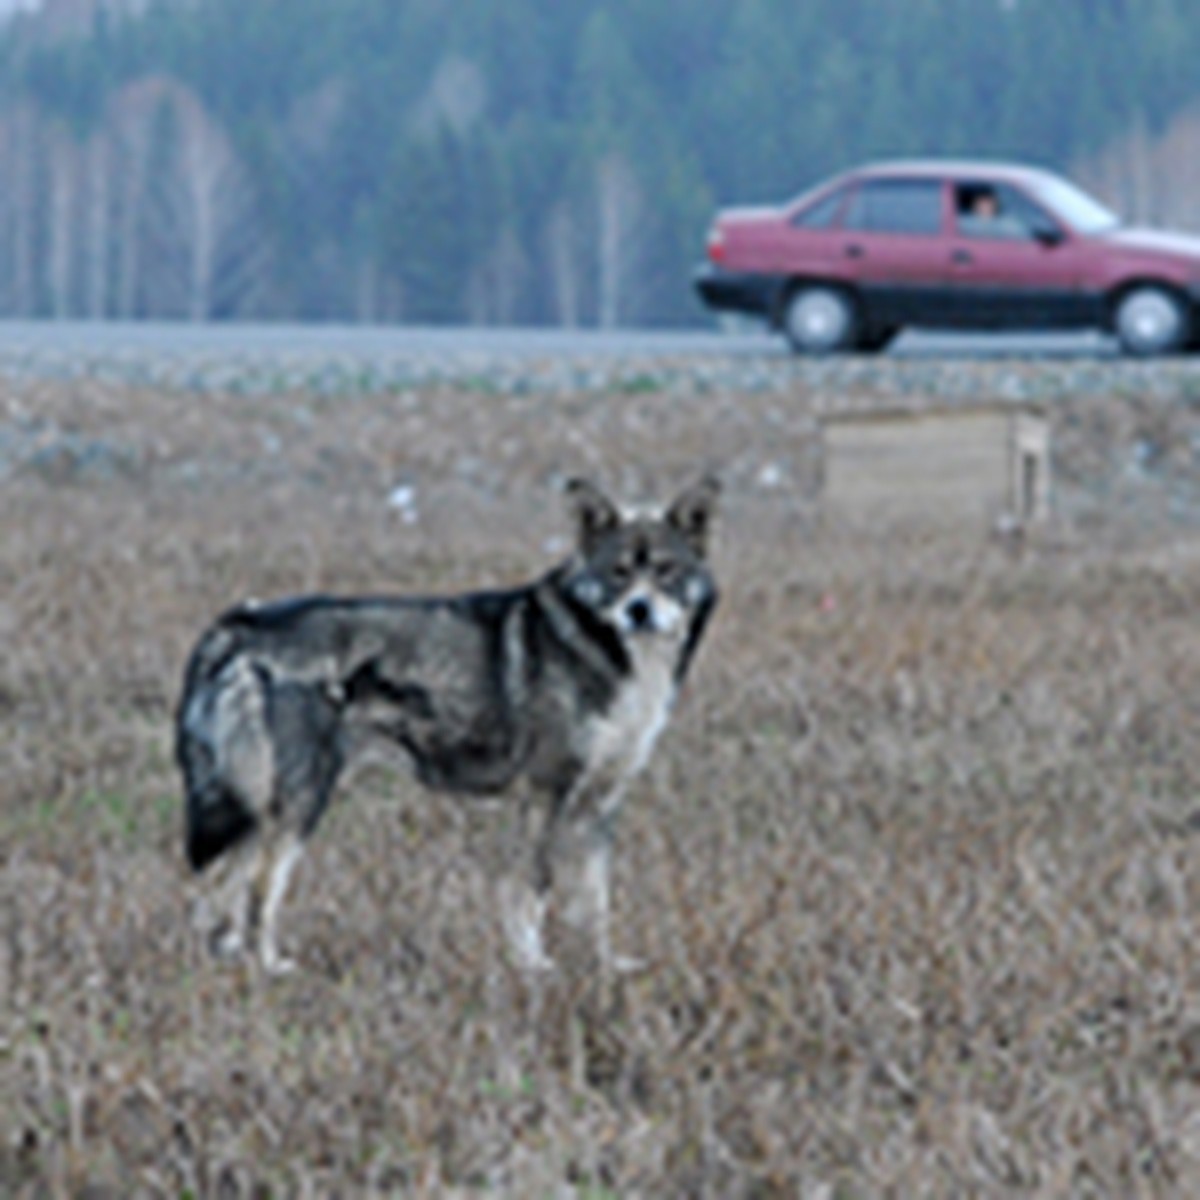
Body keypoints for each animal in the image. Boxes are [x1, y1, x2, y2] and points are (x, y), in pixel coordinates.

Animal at [175, 472, 720, 969]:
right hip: (296, 801)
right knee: (257, 887)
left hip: (256, 801)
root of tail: (236, 624)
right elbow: (532, 889)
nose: (639, 610)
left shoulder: (599, 805)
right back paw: (268, 967)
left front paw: (603, 967)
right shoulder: (546, 794)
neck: (612, 654)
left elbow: (594, 903)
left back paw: (224, 964)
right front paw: (534, 967)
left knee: (222, 890)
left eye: (666, 571)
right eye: (619, 573)